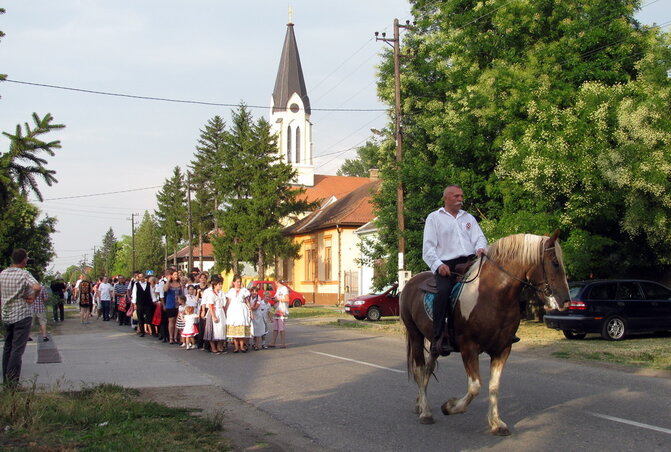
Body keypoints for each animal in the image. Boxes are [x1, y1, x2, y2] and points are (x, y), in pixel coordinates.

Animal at [402, 231, 568, 436]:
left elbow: (494, 386)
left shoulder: (502, 349)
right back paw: (425, 412)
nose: (565, 300)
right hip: (415, 334)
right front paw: (449, 406)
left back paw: (420, 403)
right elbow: (475, 387)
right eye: (554, 262)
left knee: (427, 368)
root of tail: (411, 282)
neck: (493, 295)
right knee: (419, 369)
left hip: (435, 343)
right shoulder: (469, 348)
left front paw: (496, 423)